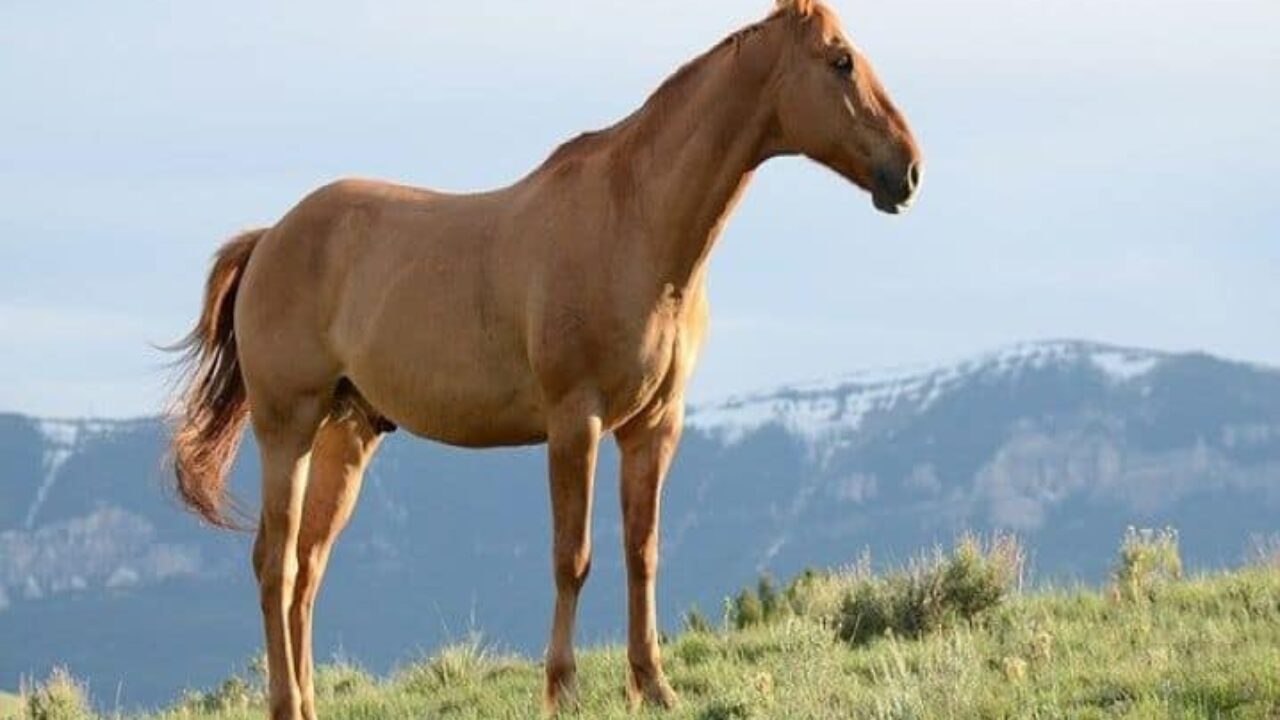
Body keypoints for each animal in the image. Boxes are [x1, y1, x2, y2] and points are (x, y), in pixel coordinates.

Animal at [167, 1, 921, 712]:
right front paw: (562, 688)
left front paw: (653, 686)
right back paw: (286, 704)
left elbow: (642, 552)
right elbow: (573, 557)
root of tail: (270, 237)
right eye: (840, 60)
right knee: (276, 565)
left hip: (346, 435)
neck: (633, 223)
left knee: (308, 567)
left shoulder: (654, 426)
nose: (908, 170)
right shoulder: (574, 421)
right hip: (287, 428)